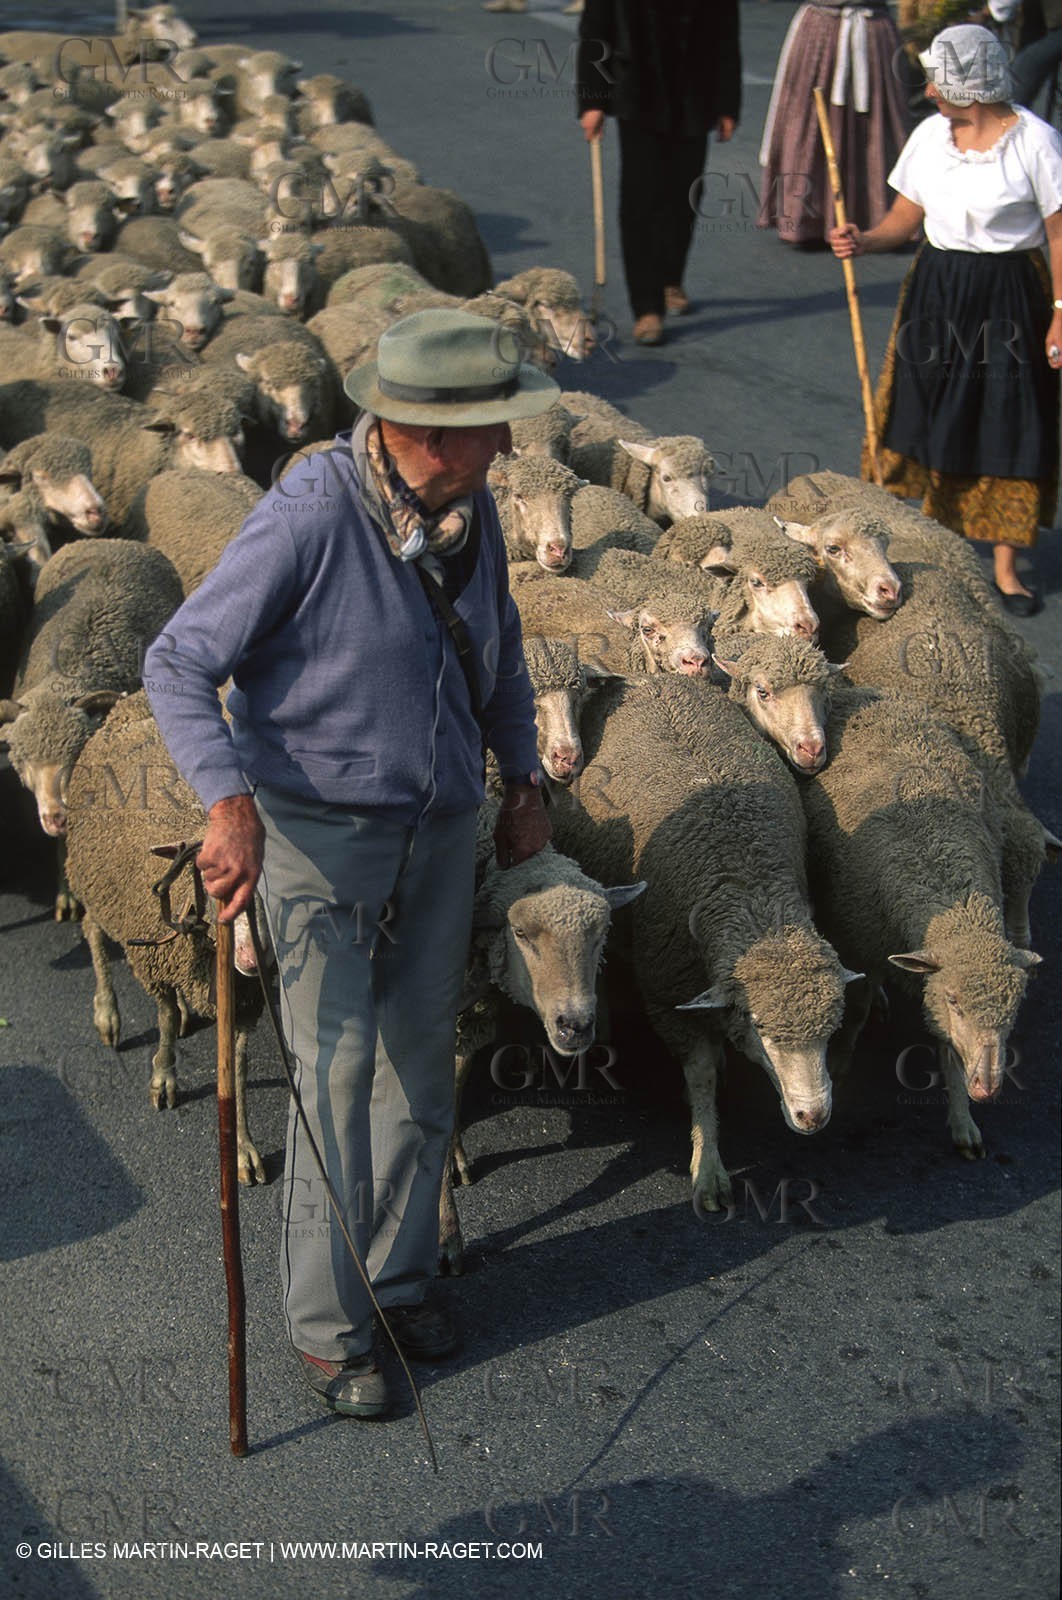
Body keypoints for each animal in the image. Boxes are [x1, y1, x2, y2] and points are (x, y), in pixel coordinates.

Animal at [439, 797, 645, 1270]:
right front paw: (445, 1235)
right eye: (519, 933)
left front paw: (454, 1159)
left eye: (602, 934)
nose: (576, 1025)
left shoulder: (469, 1014)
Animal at [549, 673, 857, 1210]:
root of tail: (648, 680)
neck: (749, 891)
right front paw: (709, 1166)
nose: (813, 1117)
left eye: (832, 1027)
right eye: (759, 1026)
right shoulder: (667, 993)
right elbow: (703, 1076)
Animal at [717, 633, 1046, 1159]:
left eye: (1013, 1009)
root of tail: (864, 692)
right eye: (956, 1001)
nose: (988, 1088)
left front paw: (963, 1118)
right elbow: (857, 1007)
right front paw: (842, 1059)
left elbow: (949, 1050)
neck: (946, 882)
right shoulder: (864, 940)